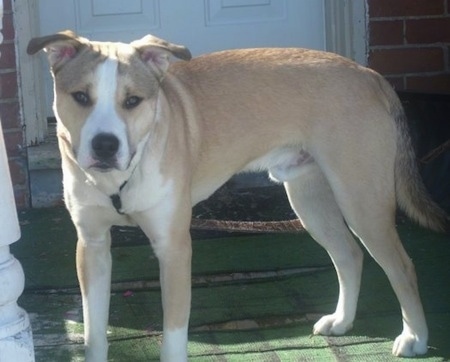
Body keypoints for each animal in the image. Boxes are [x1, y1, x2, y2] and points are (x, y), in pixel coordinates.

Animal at [27, 31, 446, 362]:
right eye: (81, 97)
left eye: (133, 101)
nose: (105, 145)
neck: (121, 178)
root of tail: (370, 75)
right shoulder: (92, 246)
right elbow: (94, 332)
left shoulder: (173, 248)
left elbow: (174, 336)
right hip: (309, 199)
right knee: (349, 255)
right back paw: (342, 320)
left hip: (361, 200)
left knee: (402, 267)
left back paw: (414, 337)